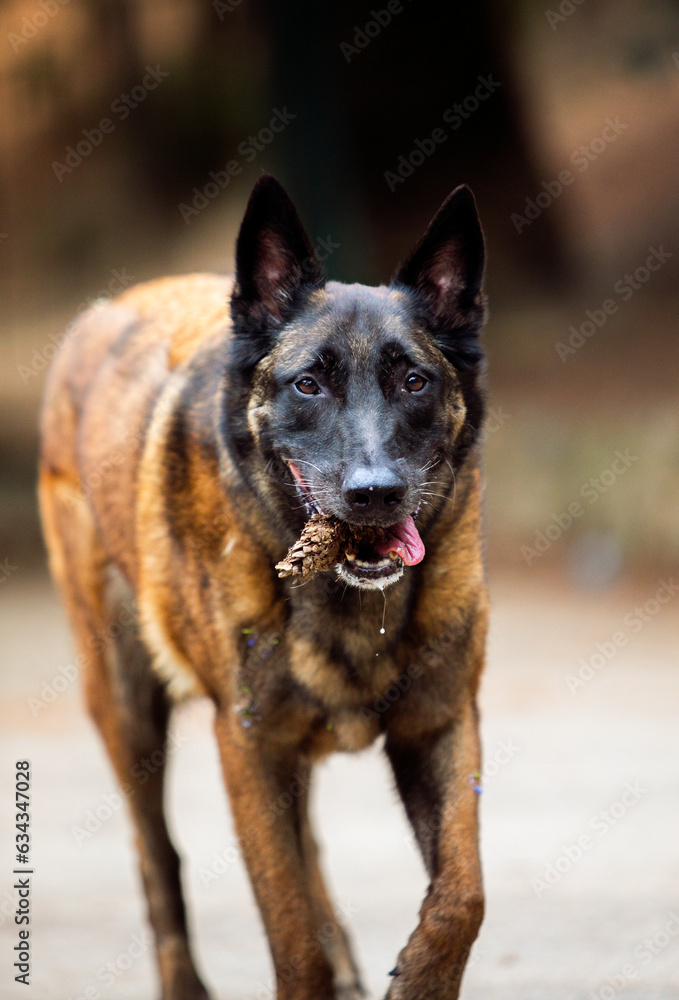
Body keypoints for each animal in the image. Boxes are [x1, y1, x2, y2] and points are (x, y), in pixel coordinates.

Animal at [38, 176, 488, 996]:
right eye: (307, 385)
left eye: (414, 381)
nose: (374, 494)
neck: (347, 605)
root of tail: (105, 308)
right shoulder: (246, 746)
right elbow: (290, 935)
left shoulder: (440, 724)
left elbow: (461, 893)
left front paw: (419, 979)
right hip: (125, 703)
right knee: (158, 856)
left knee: (303, 842)